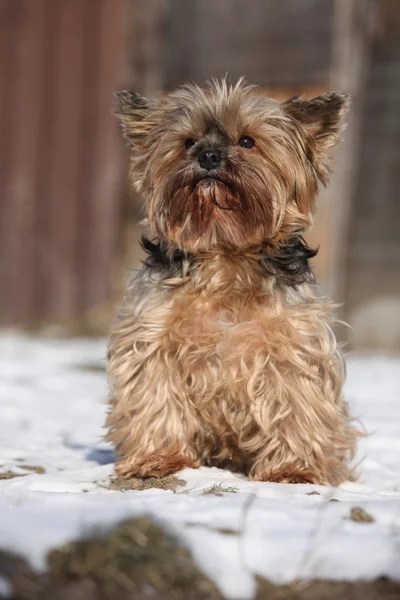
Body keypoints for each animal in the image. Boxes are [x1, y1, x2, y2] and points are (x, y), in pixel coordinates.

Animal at [105, 77, 360, 486]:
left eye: (247, 141)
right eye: (188, 142)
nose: (208, 156)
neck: (225, 251)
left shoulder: (291, 346)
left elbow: (295, 402)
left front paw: (294, 469)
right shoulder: (152, 338)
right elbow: (156, 394)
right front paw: (158, 458)